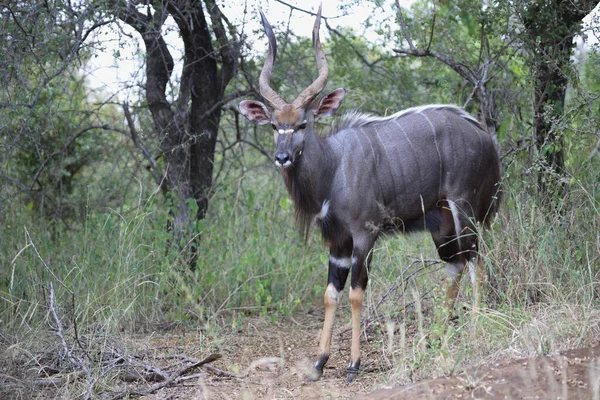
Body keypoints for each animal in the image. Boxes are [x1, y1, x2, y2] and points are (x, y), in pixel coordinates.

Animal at [239, 5, 502, 382]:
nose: (282, 157)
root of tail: (487, 138)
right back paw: (435, 338)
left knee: (475, 258)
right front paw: (318, 363)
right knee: (455, 262)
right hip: (441, 222)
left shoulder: (366, 233)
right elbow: (330, 293)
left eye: (303, 123)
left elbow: (356, 293)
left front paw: (353, 364)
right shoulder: (337, 242)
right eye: (275, 125)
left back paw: (476, 327)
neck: (333, 168)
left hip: (465, 208)